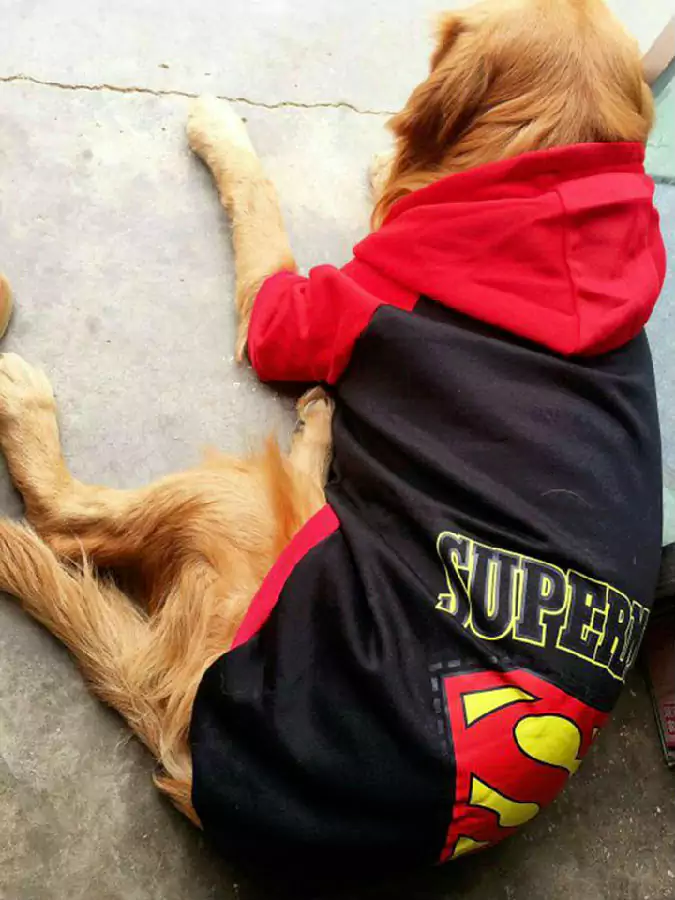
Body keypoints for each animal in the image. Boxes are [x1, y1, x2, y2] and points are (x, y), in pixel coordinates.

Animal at [0, 0, 665, 878]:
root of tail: (187, 743)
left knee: (68, 520)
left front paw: (223, 130)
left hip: (239, 508)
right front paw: (390, 167)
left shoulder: (308, 307)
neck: (556, 196)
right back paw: (320, 426)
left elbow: (260, 203)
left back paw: (26, 403)